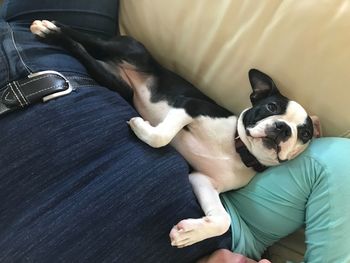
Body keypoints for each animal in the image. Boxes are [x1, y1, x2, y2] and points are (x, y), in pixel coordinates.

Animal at [30, 20, 320, 250]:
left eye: (304, 133)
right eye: (271, 108)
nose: (283, 128)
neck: (237, 149)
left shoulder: (203, 181)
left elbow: (223, 220)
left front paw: (190, 234)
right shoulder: (189, 107)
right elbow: (162, 137)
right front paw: (142, 127)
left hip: (114, 80)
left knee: (85, 54)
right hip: (129, 50)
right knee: (88, 40)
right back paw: (50, 30)